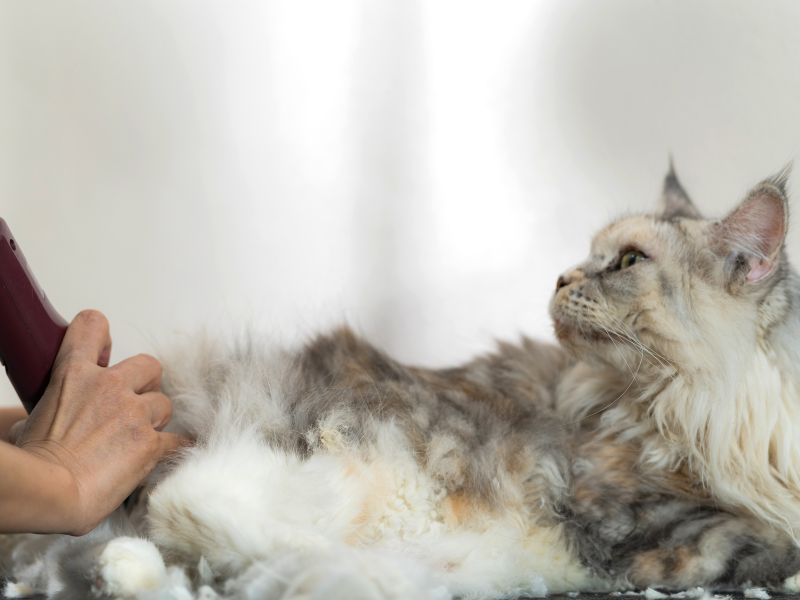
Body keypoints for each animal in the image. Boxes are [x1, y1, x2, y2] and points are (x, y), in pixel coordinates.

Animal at [1, 165, 800, 600]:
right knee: (196, 509)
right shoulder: (644, 522)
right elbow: (773, 542)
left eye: (628, 261)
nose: (561, 276)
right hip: (377, 480)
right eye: (590, 255)